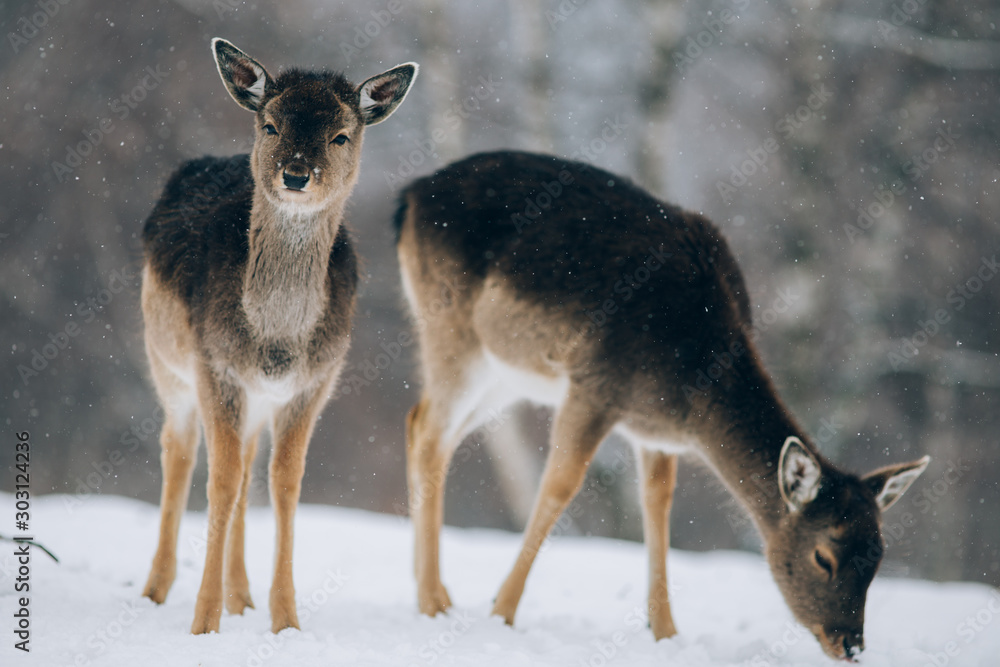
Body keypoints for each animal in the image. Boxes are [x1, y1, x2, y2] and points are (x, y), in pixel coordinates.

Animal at [139, 38, 416, 634]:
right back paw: (157, 589)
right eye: (270, 124)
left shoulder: (315, 382)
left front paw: (284, 619)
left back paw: (241, 597)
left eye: (341, 135)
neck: (276, 343)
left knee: (247, 467)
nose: (295, 175)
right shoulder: (215, 366)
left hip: (254, 401)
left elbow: (284, 484)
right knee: (179, 450)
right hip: (165, 360)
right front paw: (204, 622)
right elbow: (218, 481)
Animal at [394, 150, 929, 661]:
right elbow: (560, 485)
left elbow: (657, 503)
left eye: (879, 556)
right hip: (452, 329)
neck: (689, 381)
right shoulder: (594, 385)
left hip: (504, 374)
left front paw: (665, 632)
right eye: (823, 556)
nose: (851, 645)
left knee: (424, 425)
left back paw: (435, 592)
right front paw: (501, 614)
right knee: (430, 430)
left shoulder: (655, 431)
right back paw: (431, 600)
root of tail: (409, 197)